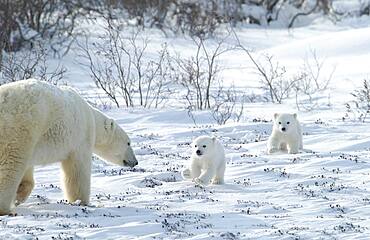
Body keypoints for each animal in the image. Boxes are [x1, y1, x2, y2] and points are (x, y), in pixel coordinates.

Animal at [0, 79, 137, 215]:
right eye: (128, 143)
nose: (135, 162)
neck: (91, 117)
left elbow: (28, 172)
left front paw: (19, 195)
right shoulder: (81, 137)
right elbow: (78, 171)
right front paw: (82, 202)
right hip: (22, 127)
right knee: (11, 164)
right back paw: (6, 209)